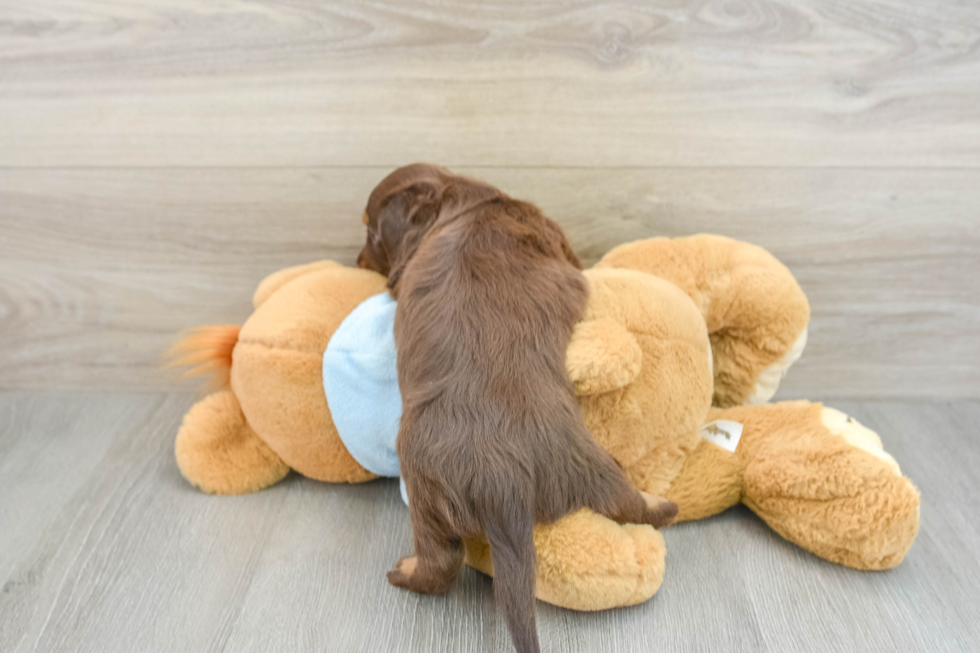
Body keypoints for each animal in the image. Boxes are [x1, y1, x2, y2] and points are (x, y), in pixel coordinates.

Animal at [356, 164, 676, 652]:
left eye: (371, 232)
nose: (354, 261)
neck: (468, 198)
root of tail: (501, 482)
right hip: (592, 467)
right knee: (630, 505)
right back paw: (665, 507)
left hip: (425, 488)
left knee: (441, 561)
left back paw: (405, 572)